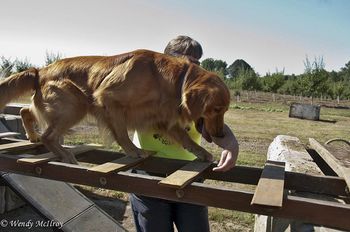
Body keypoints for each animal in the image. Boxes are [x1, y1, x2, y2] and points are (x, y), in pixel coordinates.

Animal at [0, 49, 231, 164]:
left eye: (224, 110)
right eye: (216, 109)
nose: (221, 134)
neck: (169, 80)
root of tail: (41, 70)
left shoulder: (164, 119)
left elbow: (185, 139)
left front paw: (202, 152)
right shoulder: (109, 99)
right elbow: (121, 133)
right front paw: (133, 150)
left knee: (25, 110)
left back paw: (32, 135)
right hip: (77, 102)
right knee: (48, 135)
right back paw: (64, 155)